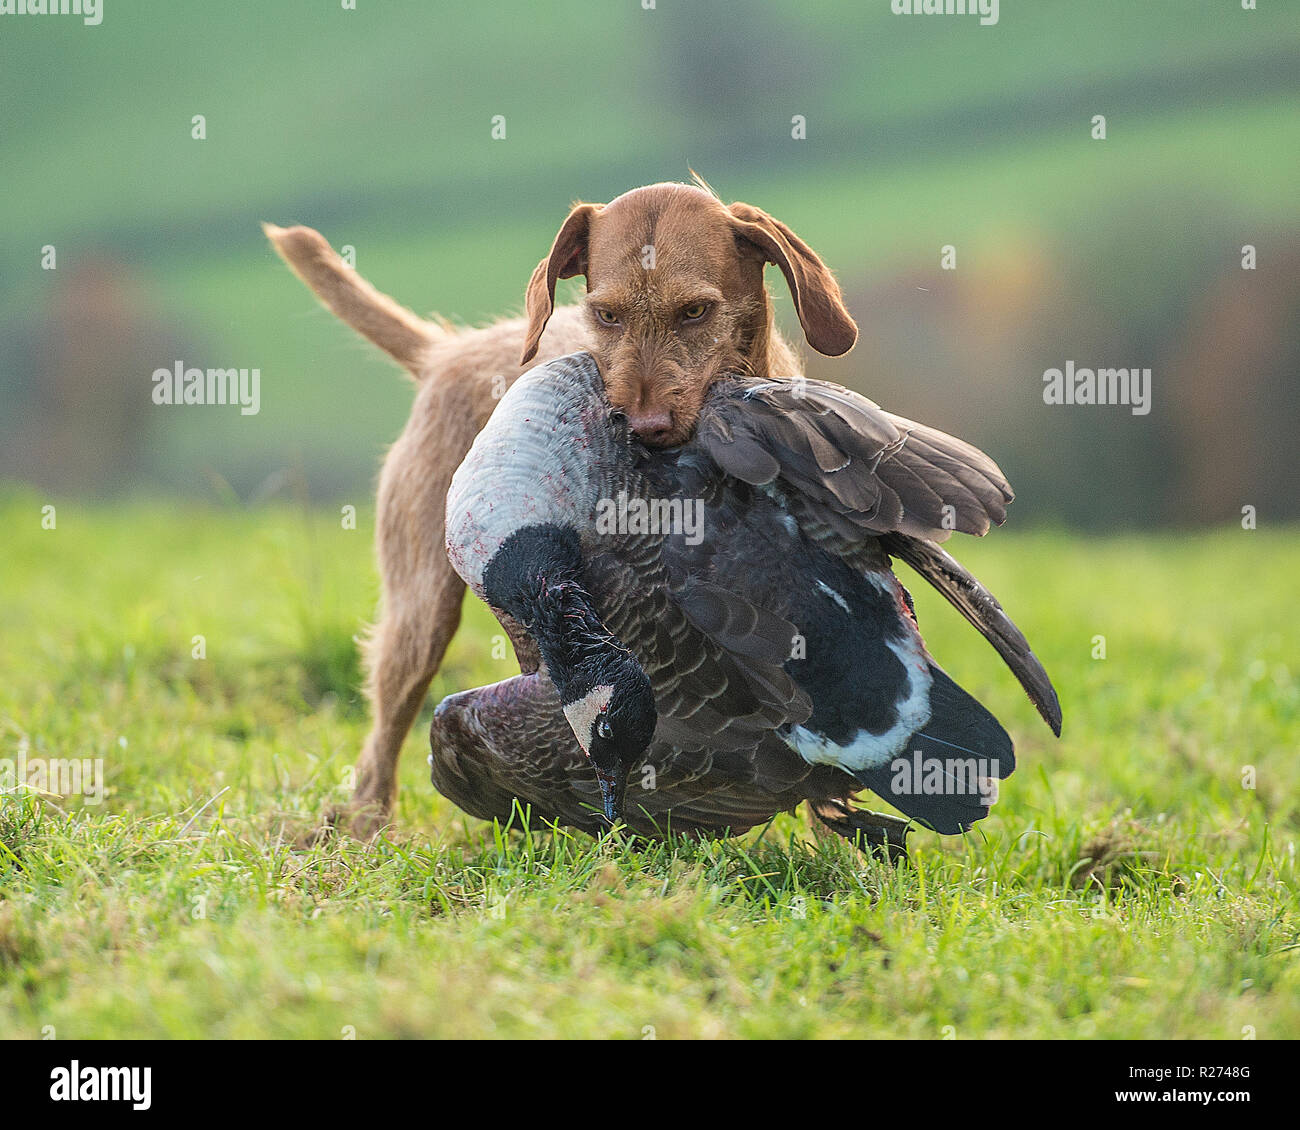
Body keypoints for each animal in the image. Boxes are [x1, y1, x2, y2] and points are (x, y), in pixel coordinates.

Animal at [265, 178, 857, 837]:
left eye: (696, 311)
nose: (644, 428)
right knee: (385, 734)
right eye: (607, 314)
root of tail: (447, 353)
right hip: (419, 612)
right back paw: (368, 828)